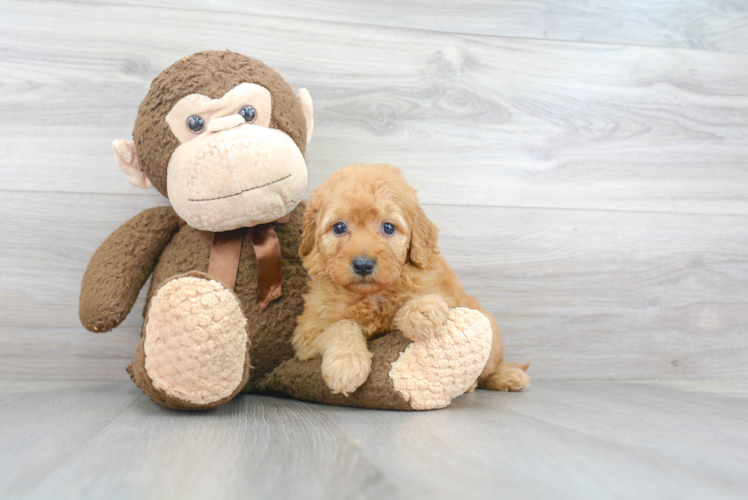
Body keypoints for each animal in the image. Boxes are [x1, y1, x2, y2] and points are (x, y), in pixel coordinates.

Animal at [290, 164, 528, 394]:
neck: (371, 296)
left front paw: (422, 310)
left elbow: (410, 306)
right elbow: (340, 325)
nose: (363, 265)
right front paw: (346, 365)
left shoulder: (446, 294)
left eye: (388, 227)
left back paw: (506, 376)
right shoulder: (307, 333)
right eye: (339, 227)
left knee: (488, 367)